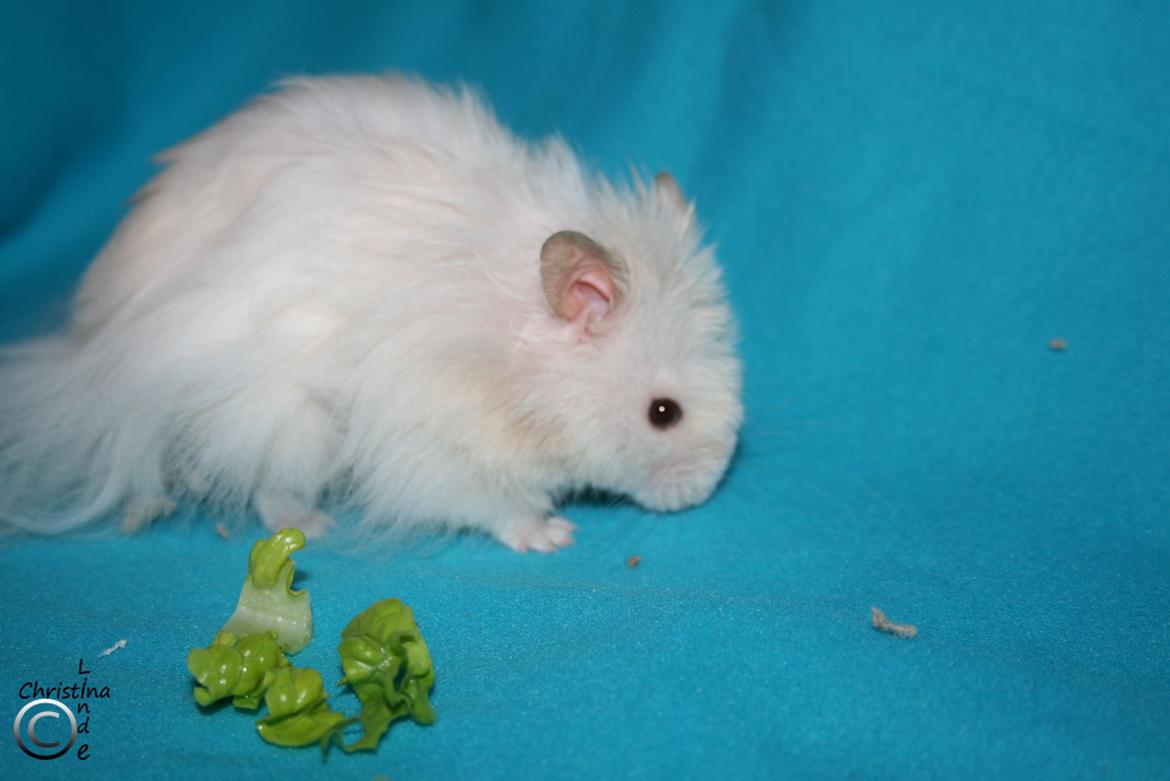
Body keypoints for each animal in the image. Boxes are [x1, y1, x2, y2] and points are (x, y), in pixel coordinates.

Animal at [0, 74, 743, 552]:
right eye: (663, 413)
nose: (703, 493)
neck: (511, 367)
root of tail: (92, 347)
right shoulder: (431, 443)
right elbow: (491, 502)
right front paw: (552, 536)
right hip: (285, 417)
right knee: (266, 485)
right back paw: (312, 526)